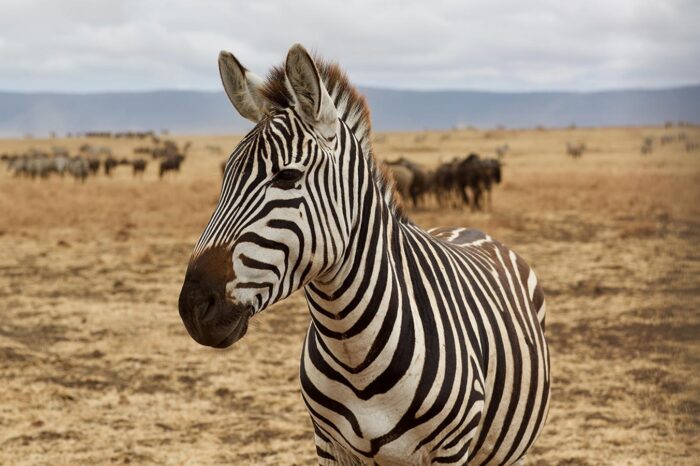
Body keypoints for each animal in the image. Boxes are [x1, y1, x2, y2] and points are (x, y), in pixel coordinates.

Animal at [178, 44, 550, 465]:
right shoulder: (327, 444)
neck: (352, 348)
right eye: (224, 176)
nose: (193, 306)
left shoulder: (451, 450)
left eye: (287, 176)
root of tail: (473, 230)